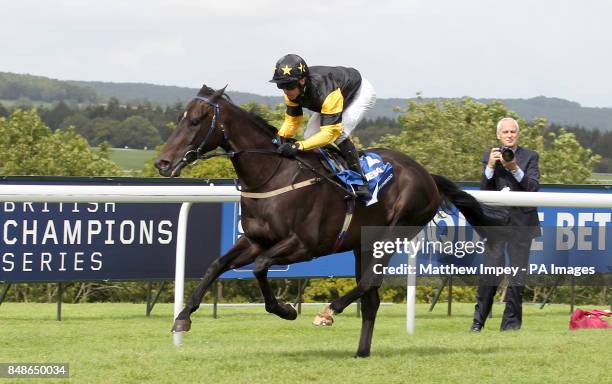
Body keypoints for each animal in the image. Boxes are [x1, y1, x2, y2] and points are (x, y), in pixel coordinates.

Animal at [154, 85, 502, 356]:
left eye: (195, 121)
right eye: (180, 118)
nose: (163, 163)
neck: (271, 175)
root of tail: (427, 175)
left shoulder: (304, 245)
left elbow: (261, 267)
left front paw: (285, 310)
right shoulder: (254, 239)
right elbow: (216, 266)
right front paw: (183, 317)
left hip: (393, 234)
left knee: (368, 281)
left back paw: (329, 312)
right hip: (364, 244)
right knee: (371, 298)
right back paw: (361, 352)